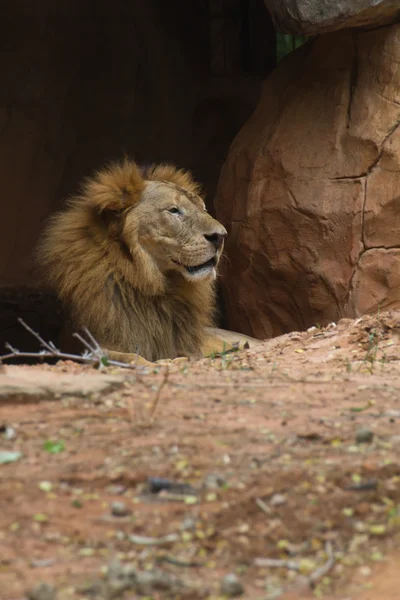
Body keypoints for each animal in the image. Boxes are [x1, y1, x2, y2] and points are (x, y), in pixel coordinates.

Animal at [38, 157, 231, 360]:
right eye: (174, 210)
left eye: (204, 208)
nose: (221, 236)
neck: (149, 283)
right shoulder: (89, 345)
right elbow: (130, 357)